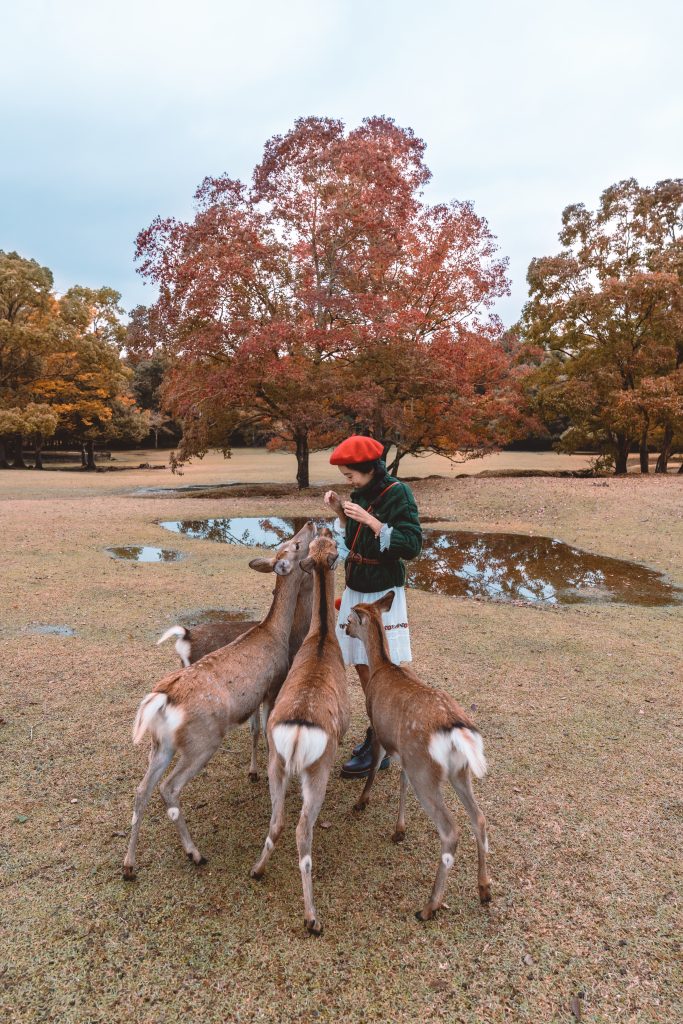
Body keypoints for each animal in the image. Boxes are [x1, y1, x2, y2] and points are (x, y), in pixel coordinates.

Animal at [344, 593, 489, 921]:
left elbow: (374, 769)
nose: (344, 630)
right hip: (457, 771)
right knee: (479, 817)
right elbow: (401, 783)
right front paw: (399, 830)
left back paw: (429, 906)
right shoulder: (405, 754)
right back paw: (484, 889)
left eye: (348, 620)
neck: (381, 666)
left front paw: (361, 802)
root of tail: (456, 729)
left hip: (426, 769)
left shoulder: (381, 731)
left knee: (450, 830)